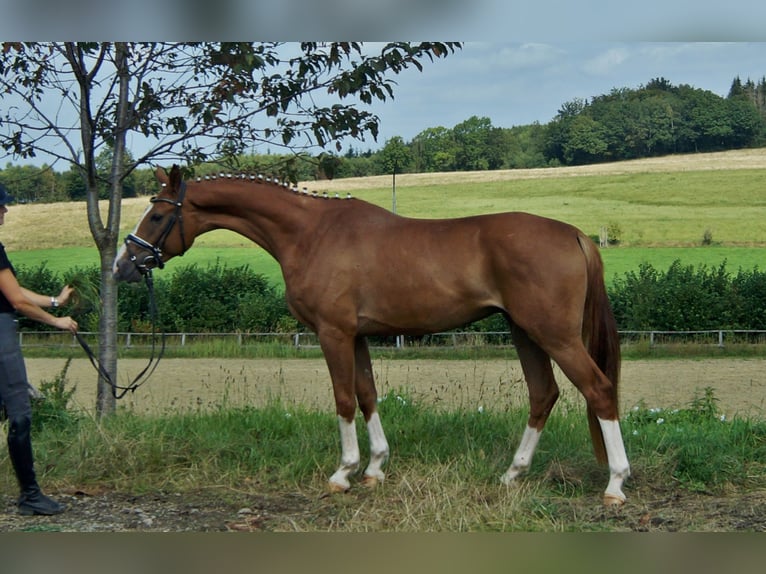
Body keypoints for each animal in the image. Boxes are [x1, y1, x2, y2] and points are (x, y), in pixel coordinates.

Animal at [112, 164, 632, 506]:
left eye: (156, 216)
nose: (123, 267)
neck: (311, 233)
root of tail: (574, 234)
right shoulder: (357, 336)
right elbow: (367, 394)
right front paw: (376, 467)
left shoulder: (333, 333)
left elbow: (344, 398)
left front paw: (343, 473)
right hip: (525, 332)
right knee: (543, 394)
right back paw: (512, 474)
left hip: (554, 335)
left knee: (598, 389)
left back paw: (615, 484)